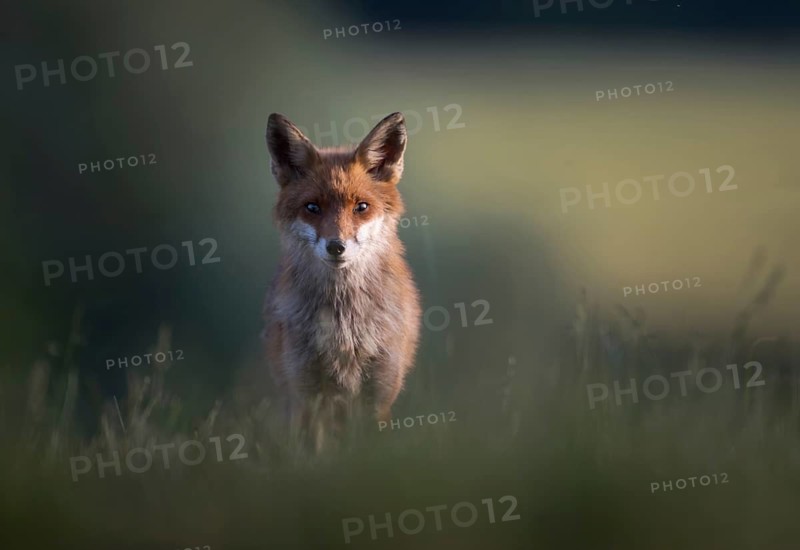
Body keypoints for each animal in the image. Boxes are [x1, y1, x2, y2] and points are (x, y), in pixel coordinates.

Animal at [262, 112, 422, 453]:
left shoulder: (379, 392)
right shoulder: (306, 392)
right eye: (312, 207)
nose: (336, 246)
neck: (344, 327)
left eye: (361, 207)